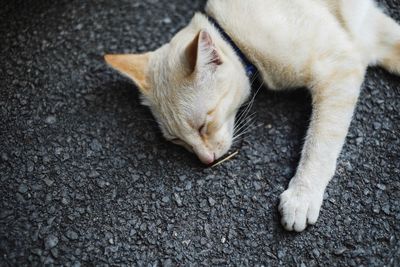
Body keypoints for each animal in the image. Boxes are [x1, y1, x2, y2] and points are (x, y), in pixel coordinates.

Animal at [104, 0, 400, 232]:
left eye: (204, 125)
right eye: (177, 141)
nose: (206, 160)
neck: (236, 35)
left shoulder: (340, 64)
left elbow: (320, 143)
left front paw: (302, 196)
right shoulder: (368, 32)